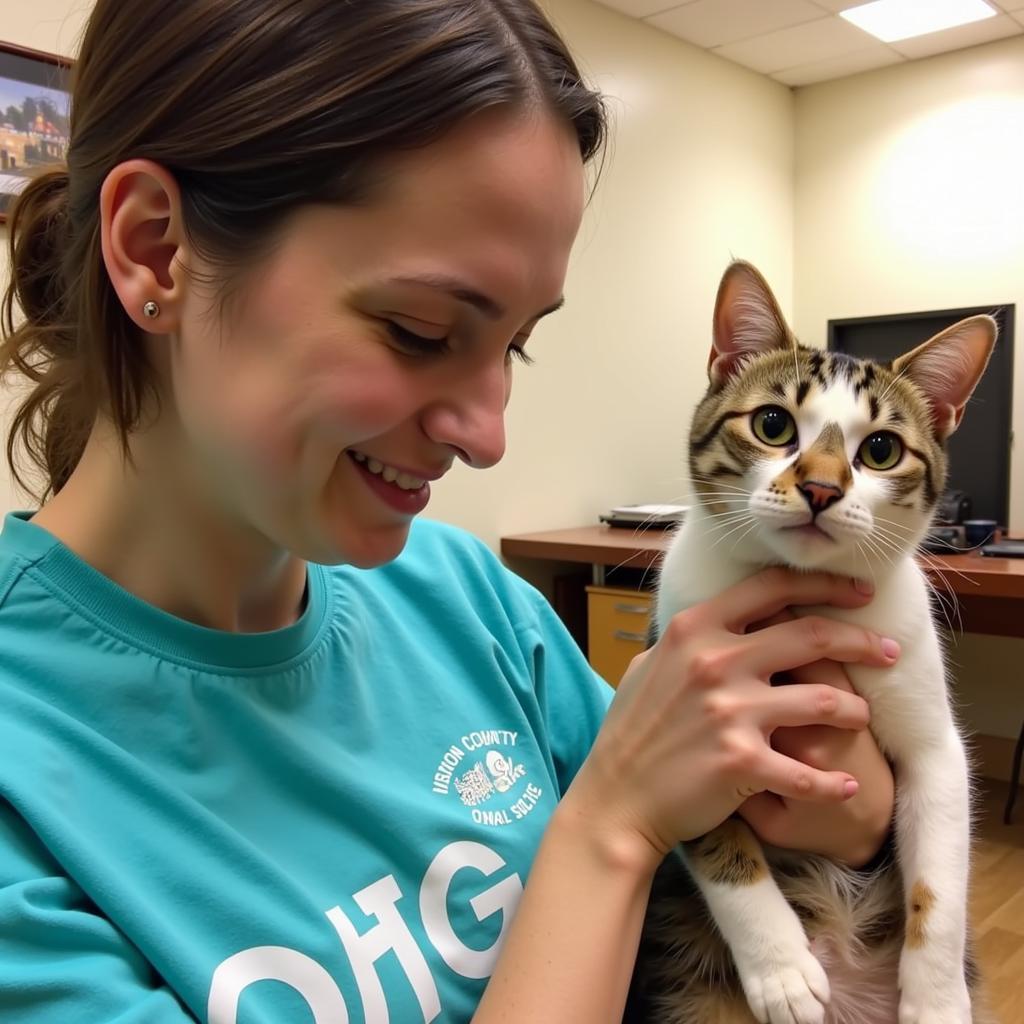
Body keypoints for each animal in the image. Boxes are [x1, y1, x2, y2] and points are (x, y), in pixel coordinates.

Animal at [634, 262, 995, 1024]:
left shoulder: (931, 732)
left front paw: (937, 996)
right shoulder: (677, 691)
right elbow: (719, 843)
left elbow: (941, 873)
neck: (805, 593)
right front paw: (781, 970)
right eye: (773, 425)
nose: (823, 488)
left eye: (881, 449)